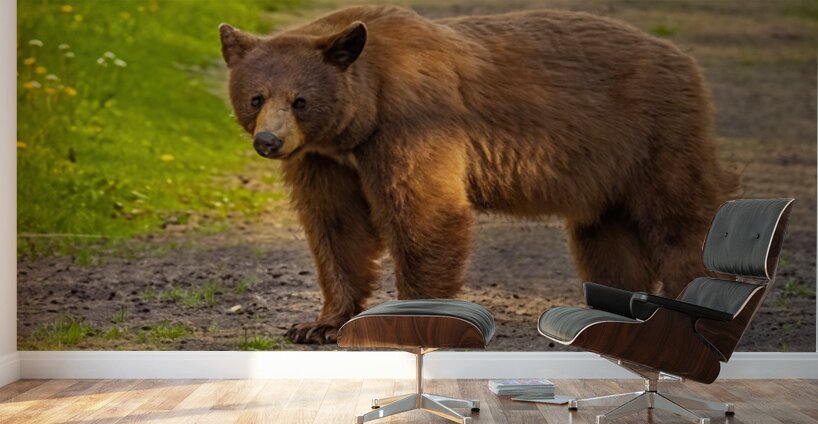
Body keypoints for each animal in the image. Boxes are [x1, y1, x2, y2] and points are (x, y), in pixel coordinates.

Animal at [219, 5, 739, 344]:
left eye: (300, 100)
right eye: (256, 97)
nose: (269, 142)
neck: (362, 115)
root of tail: (683, 57)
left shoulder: (413, 122)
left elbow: (423, 213)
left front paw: (413, 311)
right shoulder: (325, 160)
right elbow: (336, 226)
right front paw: (317, 324)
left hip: (654, 134)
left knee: (681, 217)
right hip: (606, 171)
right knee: (607, 237)